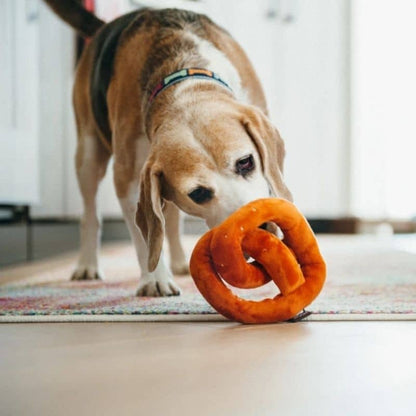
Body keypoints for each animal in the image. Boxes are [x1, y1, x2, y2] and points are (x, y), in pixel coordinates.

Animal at [44, 1, 292, 298]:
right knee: (91, 215)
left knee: (170, 218)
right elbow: (145, 238)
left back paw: (179, 262)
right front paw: (155, 279)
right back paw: (87, 265)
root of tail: (103, 26)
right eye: (198, 194)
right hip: (88, 154)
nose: (261, 230)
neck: (183, 78)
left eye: (246, 162)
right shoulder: (128, 180)